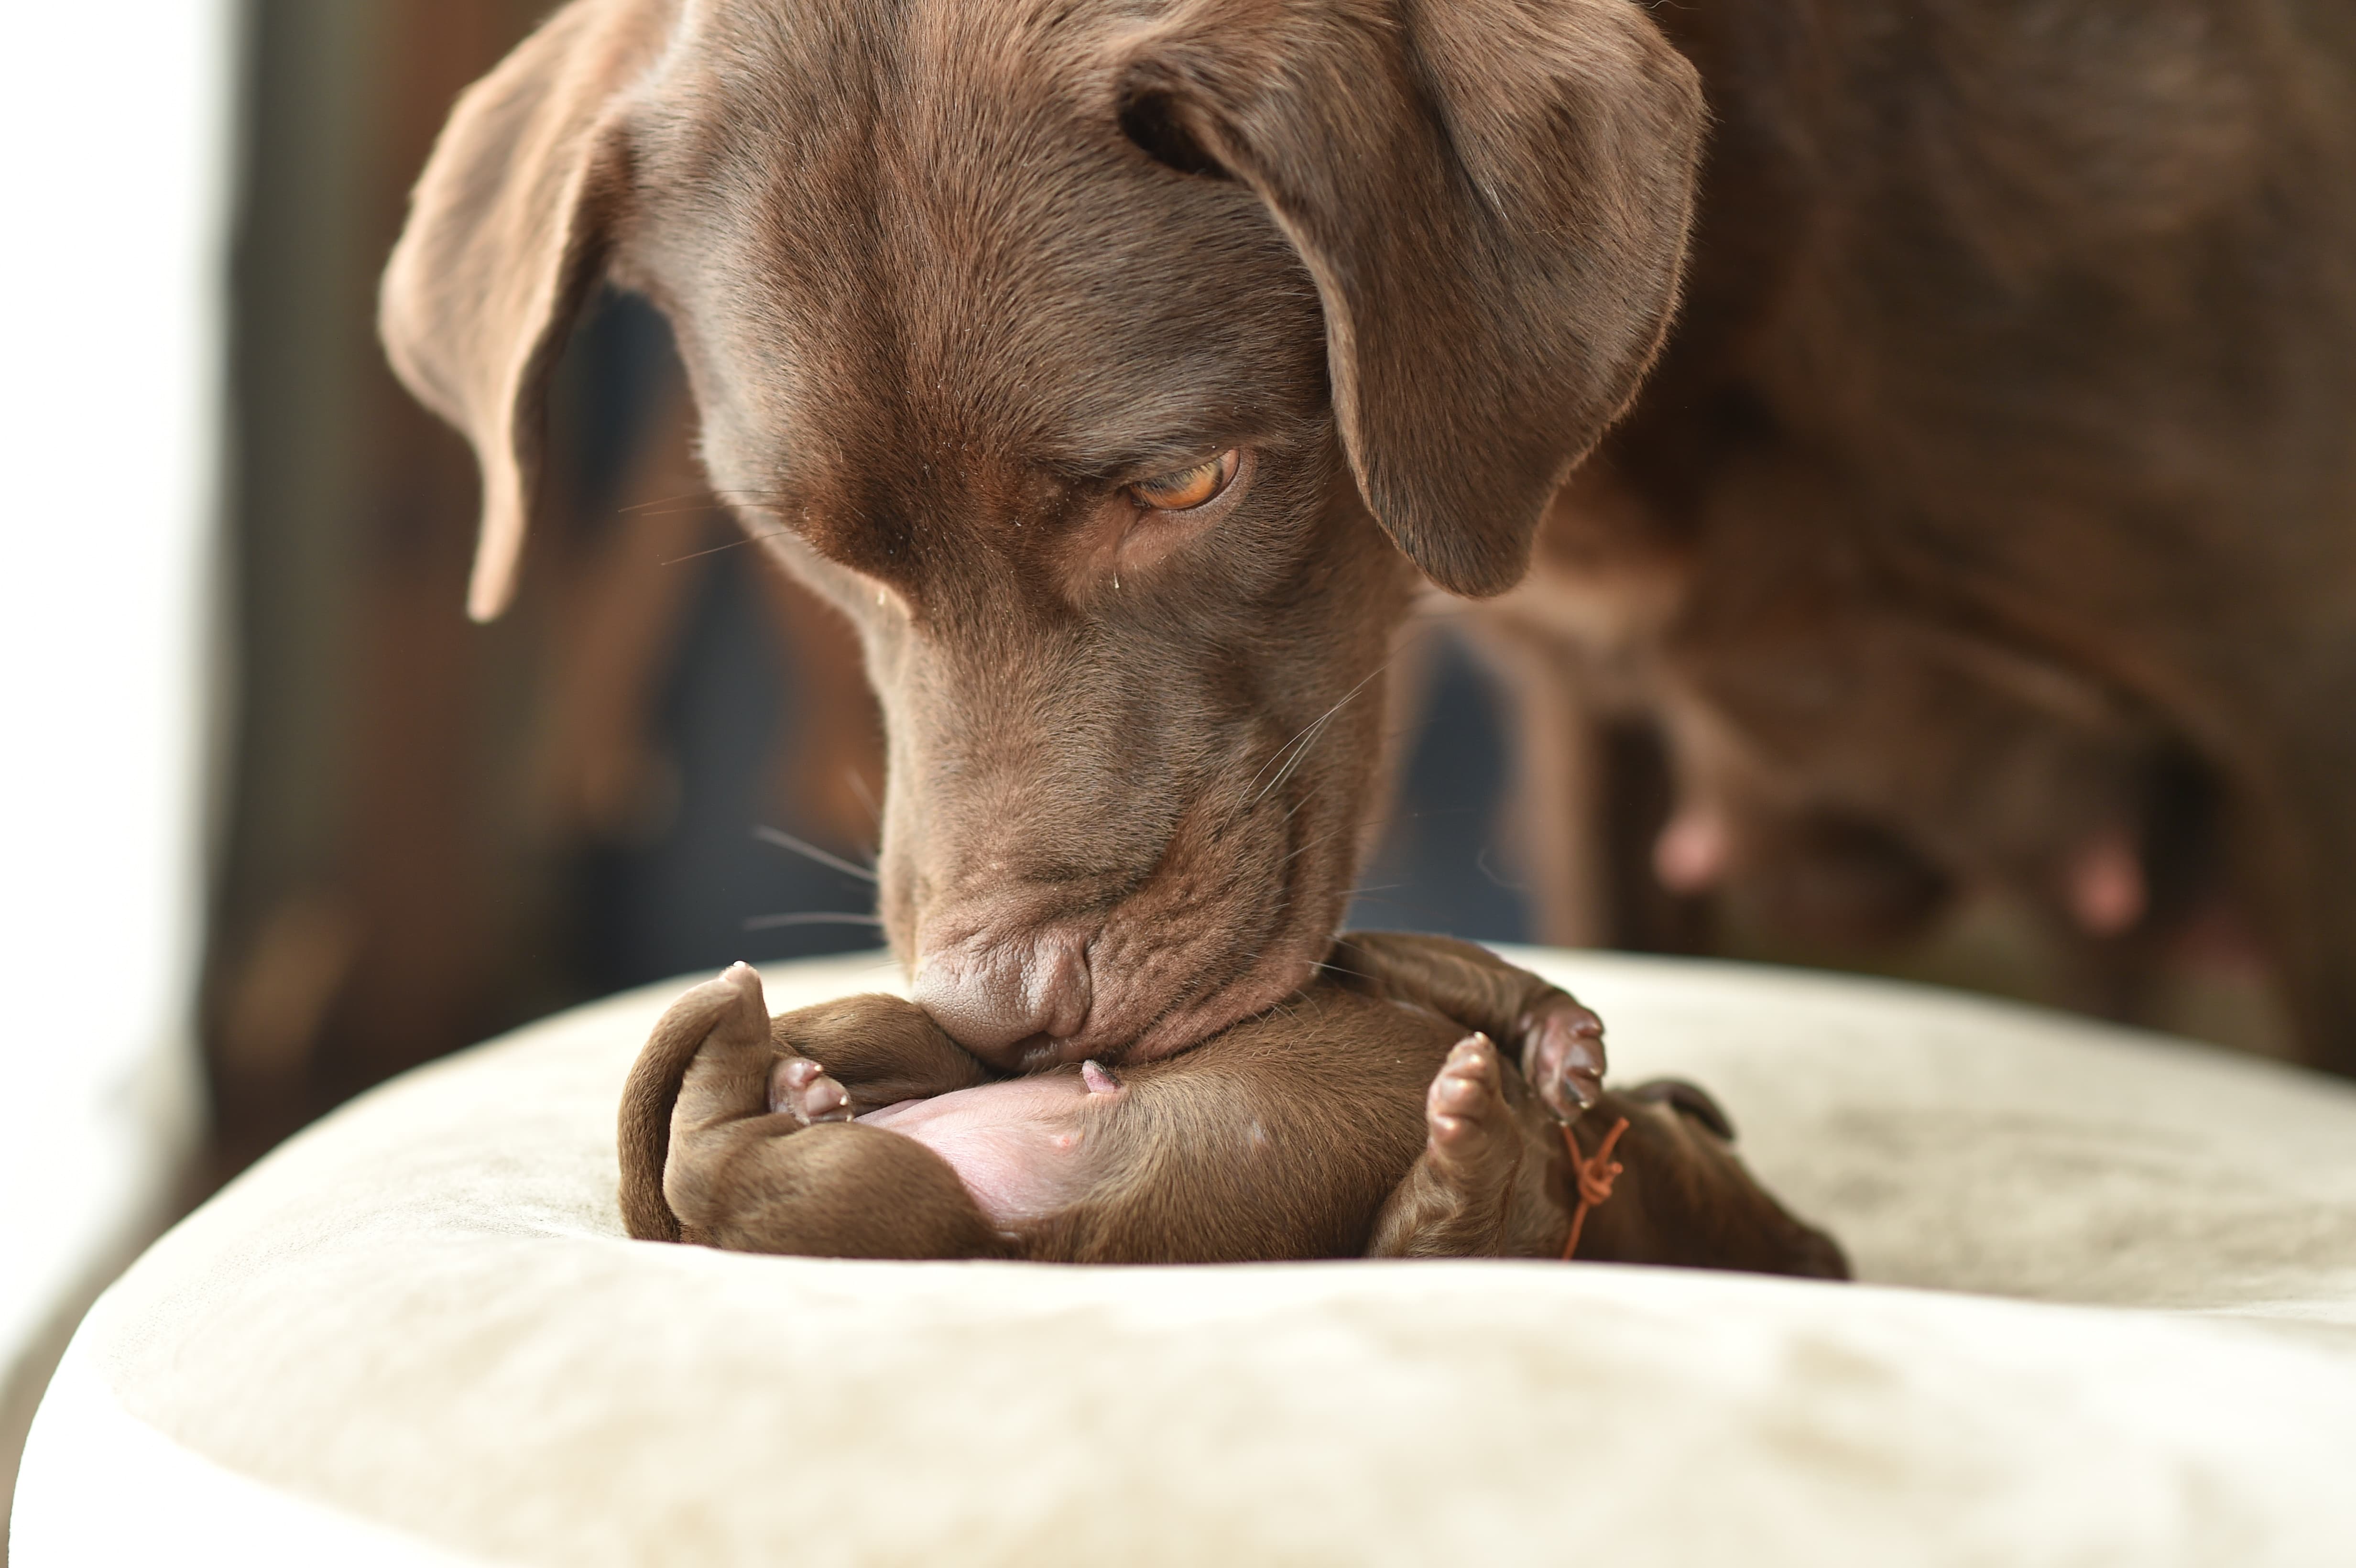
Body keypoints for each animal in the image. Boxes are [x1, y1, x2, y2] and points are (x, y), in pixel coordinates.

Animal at [617, 927, 1847, 1271]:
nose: (1830, 1249)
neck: (1575, 1168)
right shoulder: (1375, 962)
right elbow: (1482, 972)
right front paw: (1558, 1043)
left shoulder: (1430, 1248)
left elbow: (1438, 1214)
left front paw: (1470, 1113)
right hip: (909, 1063)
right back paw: (772, 1047)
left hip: (887, 1203)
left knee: (726, 1147)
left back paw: (782, 1077)